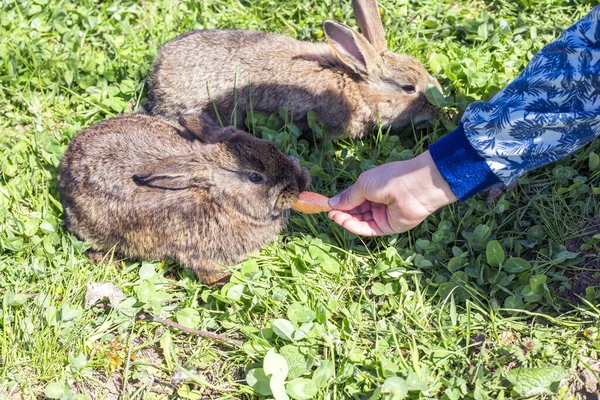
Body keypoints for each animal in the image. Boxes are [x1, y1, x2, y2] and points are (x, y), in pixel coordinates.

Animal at [57, 114, 310, 286]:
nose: (302, 181)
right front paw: (226, 279)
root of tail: (64, 170)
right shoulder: (201, 254)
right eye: (255, 177)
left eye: (272, 146)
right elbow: (208, 272)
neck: (221, 200)